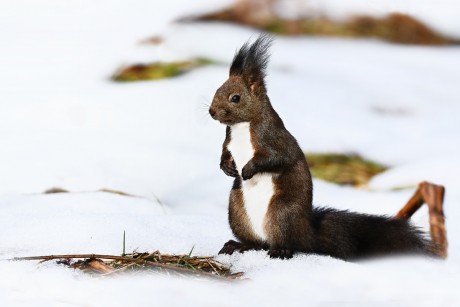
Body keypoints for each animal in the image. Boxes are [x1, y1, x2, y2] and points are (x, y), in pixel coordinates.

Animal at [208, 35, 434, 262]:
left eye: (235, 97)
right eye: (217, 90)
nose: (211, 112)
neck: (242, 126)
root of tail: (307, 234)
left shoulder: (273, 138)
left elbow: (276, 158)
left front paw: (248, 169)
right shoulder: (228, 142)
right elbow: (225, 153)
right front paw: (226, 167)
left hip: (282, 213)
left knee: (286, 243)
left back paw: (281, 251)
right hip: (237, 210)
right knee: (257, 243)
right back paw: (237, 245)